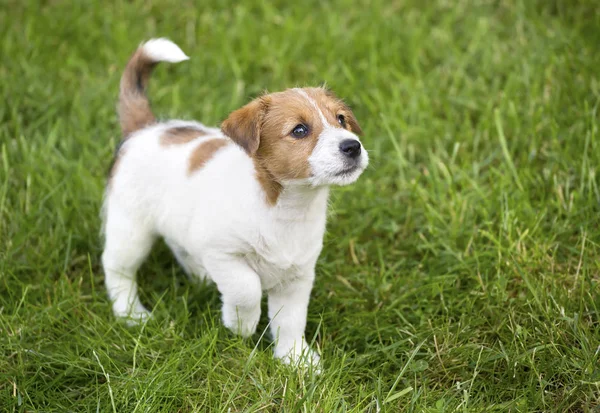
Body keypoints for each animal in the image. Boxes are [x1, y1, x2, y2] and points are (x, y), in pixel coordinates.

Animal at [101, 38, 368, 366]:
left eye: (341, 119)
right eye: (300, 130)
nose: (353, 146)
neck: (286, 207)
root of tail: (146, 129)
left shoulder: (297, 276)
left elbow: (291, 320)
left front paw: (296, 360)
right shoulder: (222, 253)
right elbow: (246, 288)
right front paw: (241, 324)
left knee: (179, 247)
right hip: (131, 230)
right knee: (117, 268)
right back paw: (131, 313)